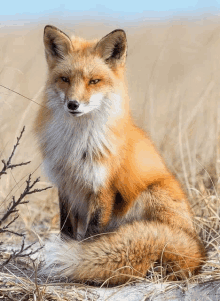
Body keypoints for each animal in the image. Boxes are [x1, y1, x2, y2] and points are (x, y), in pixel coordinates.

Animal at [35, 25, 207, 284]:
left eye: (94, 81)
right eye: (65, 79)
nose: (73, 104)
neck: (77, 146)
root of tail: (198, 249)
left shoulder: (103, 187)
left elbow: (91, 235)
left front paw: (82, 260)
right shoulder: (65, 185)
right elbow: (66, 230)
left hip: (148, 195)